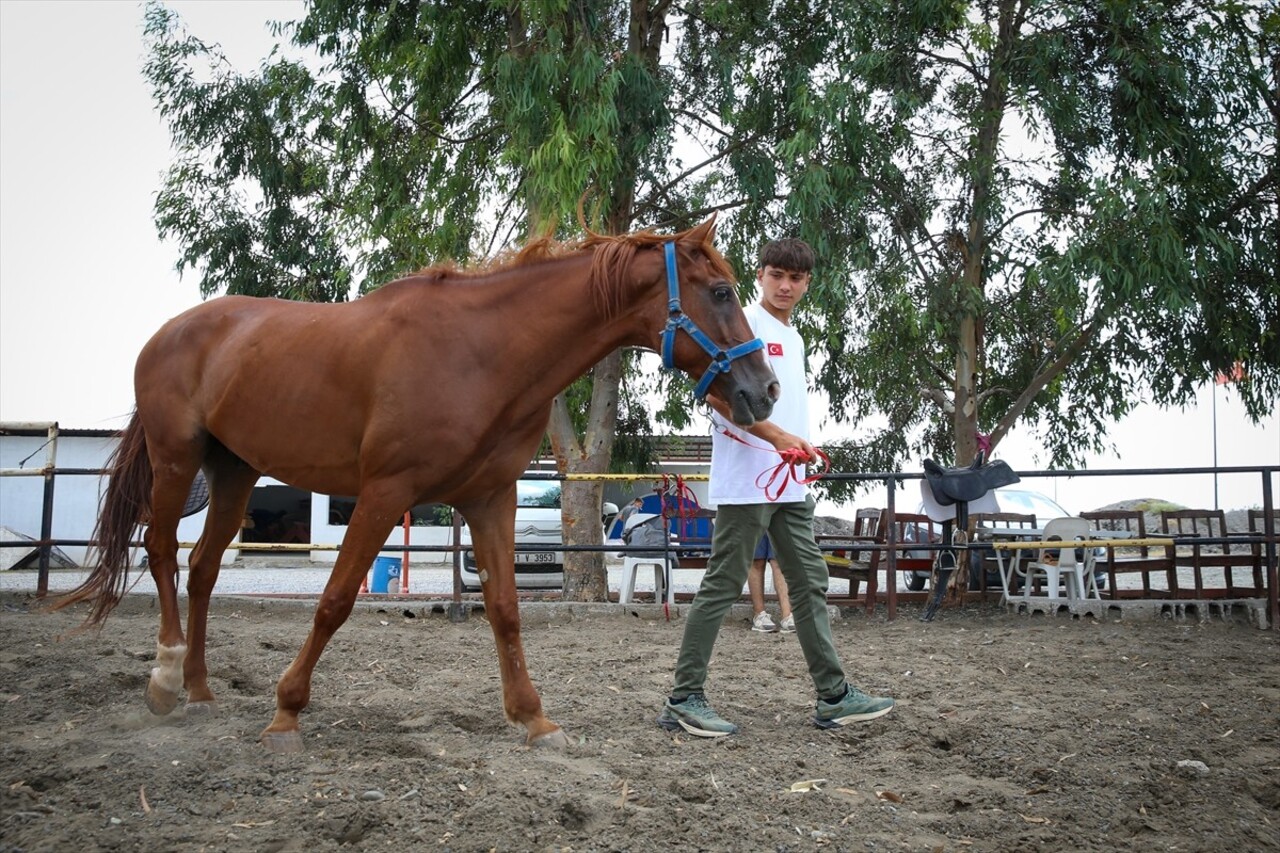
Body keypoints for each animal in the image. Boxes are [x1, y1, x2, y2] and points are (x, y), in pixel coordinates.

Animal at [57, 213, 778, 753]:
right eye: (721, 293)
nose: (764, 391)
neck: (483, 351)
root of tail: (169, 333)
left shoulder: (490, 499)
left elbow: (505, 608)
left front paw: (533, 716)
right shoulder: (385, 493)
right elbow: (333, 601)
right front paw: (287, 711)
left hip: (234, 472)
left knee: (204, 568)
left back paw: (202, 689)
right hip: (177, 460)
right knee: (161, 553)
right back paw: (164, 679)